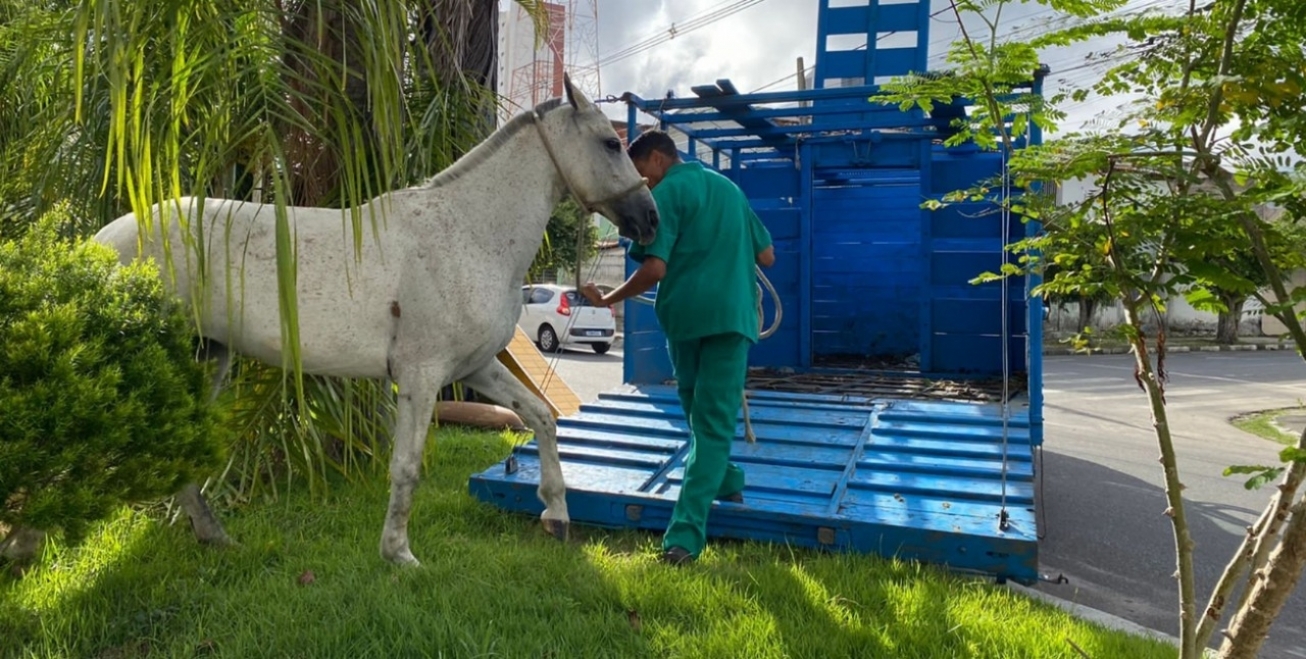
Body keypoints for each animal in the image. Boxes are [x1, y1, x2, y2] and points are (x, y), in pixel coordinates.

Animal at [95, 74, 658, 563]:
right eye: (611, 144)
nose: (649, 219)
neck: (468, 231)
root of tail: (100, 243)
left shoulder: (474, 368)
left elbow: (541, 416)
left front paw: (556, 515)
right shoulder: (421, 376)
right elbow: (406, 467)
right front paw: (398, 554)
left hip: (207, 357)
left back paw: (214, 536)